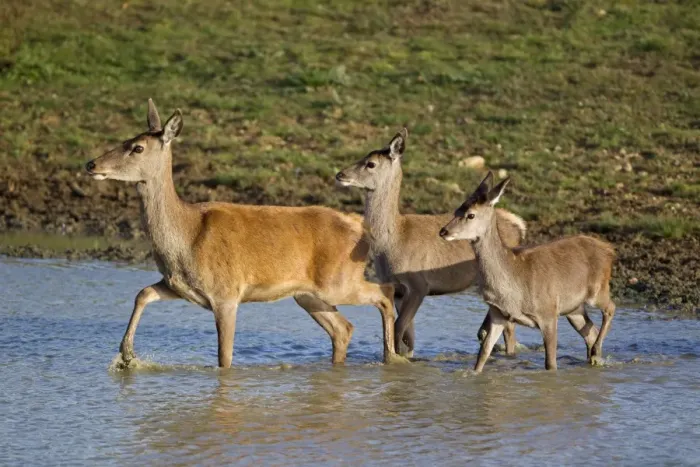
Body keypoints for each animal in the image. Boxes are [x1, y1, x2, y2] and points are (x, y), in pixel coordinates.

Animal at [84, 99, 405, 368]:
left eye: (137, 148)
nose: (91, 164)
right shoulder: (177, 285)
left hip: (337, 281)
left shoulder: (226, 294)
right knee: (343, 329)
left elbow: (224, 358)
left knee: (385, 293)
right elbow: (142, 293)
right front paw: (126, 355)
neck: (186, 237)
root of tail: (360, 226)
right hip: (308, 294)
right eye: (125, 140)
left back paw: (393, 356)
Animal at [335, 129, 527, 358]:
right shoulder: (397, 291)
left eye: (371, 163)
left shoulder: (419, 285)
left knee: (509, 330)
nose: (340, 175)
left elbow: (398, 330)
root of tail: (520, 225)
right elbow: (407, 339)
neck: (394, 241)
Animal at [439, 172, 616, 372]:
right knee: (590, 331)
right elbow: (483, 353)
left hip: (598, 290)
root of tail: (610, 249)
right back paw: (594, 357)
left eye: (471, 215)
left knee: (610, 308)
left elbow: (550, 363)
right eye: (457, 210)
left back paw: (596, 352)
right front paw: (474, 373)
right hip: (574, 308)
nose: (444, 231)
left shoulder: (548, 312)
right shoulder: (498, 313)